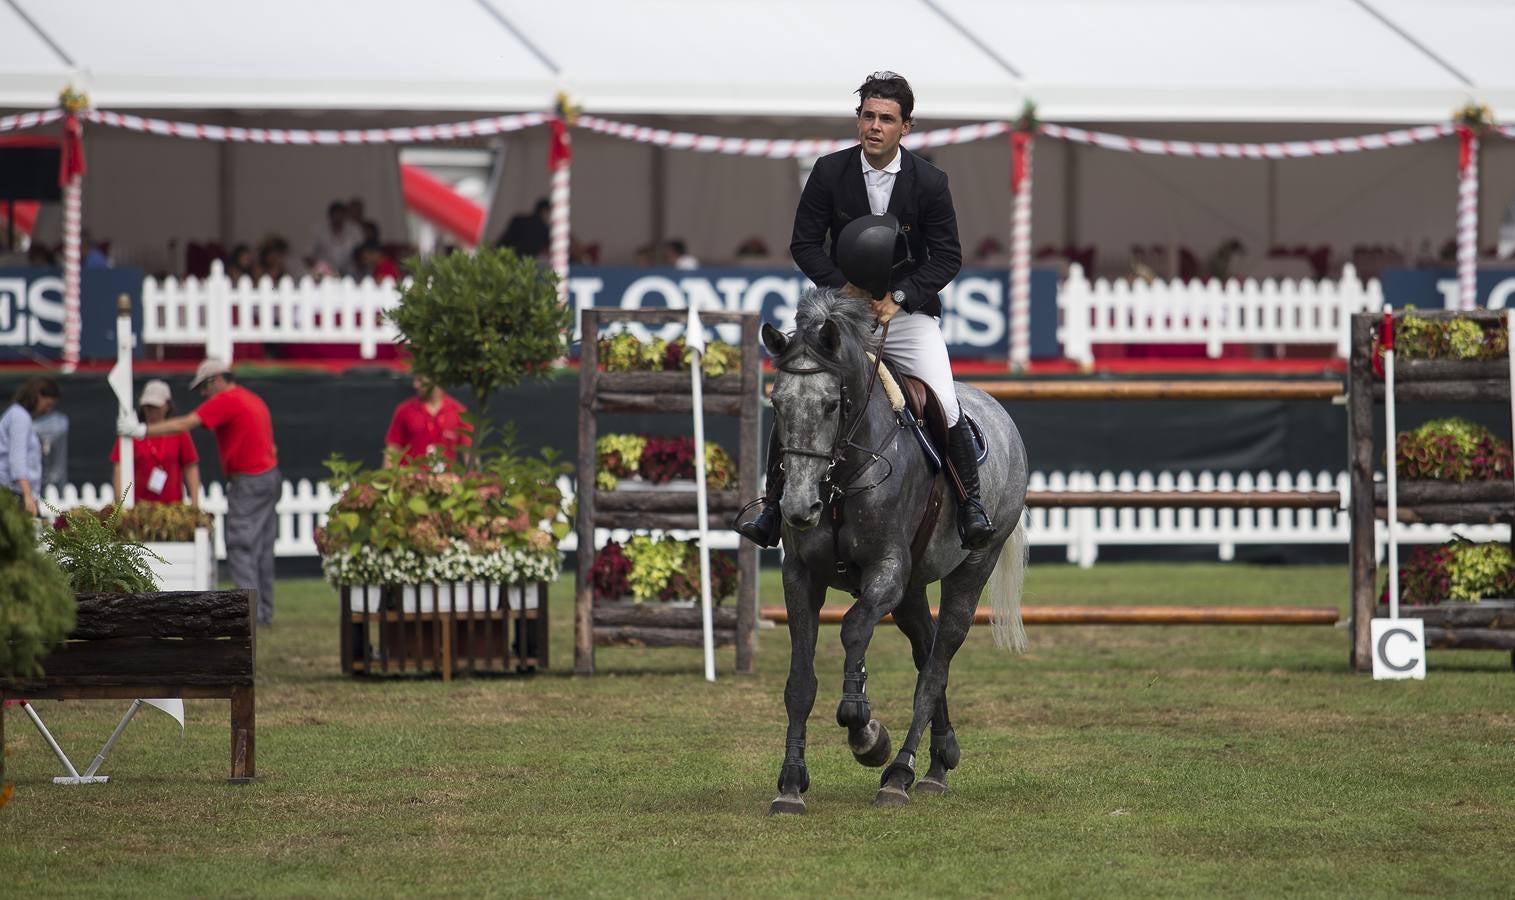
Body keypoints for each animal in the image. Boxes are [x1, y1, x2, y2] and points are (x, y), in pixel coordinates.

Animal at [769, 289, 1030, 812]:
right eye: (777, 405)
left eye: (831, 405)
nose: (799, 507)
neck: (840, 478)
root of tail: (999, 411)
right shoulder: (801, 575)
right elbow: (800, 681)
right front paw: (790, 782)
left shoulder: (886, 570)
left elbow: (854, 629)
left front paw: (866, 732)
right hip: (911, 589)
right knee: (927, 651)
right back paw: (939, 760)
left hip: (972, 567)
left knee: (937, 664)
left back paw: (900, 773)